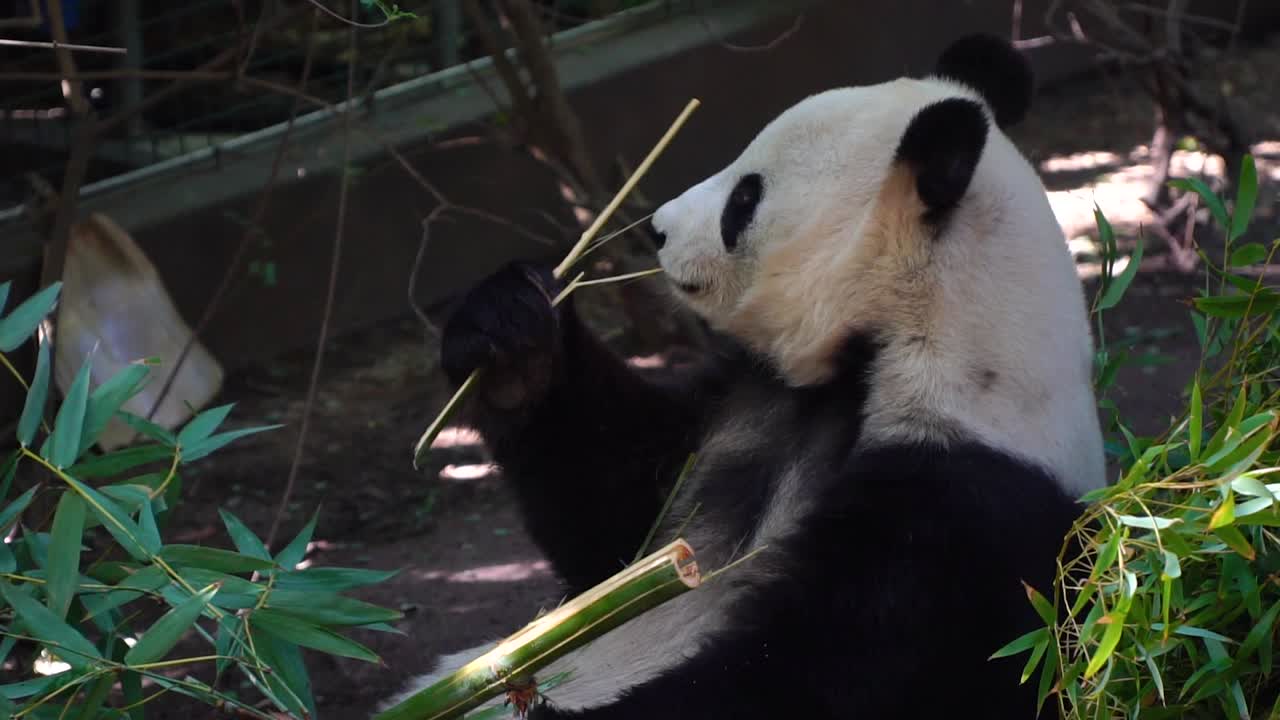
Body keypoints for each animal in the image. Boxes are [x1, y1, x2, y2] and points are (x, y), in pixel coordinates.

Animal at [386, 33, 1106, 720]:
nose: (657, 228)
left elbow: (817, 676)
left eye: (745, 198)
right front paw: (511, 339)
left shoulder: (962, 499)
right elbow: (610, 532)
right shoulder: (740, 403)